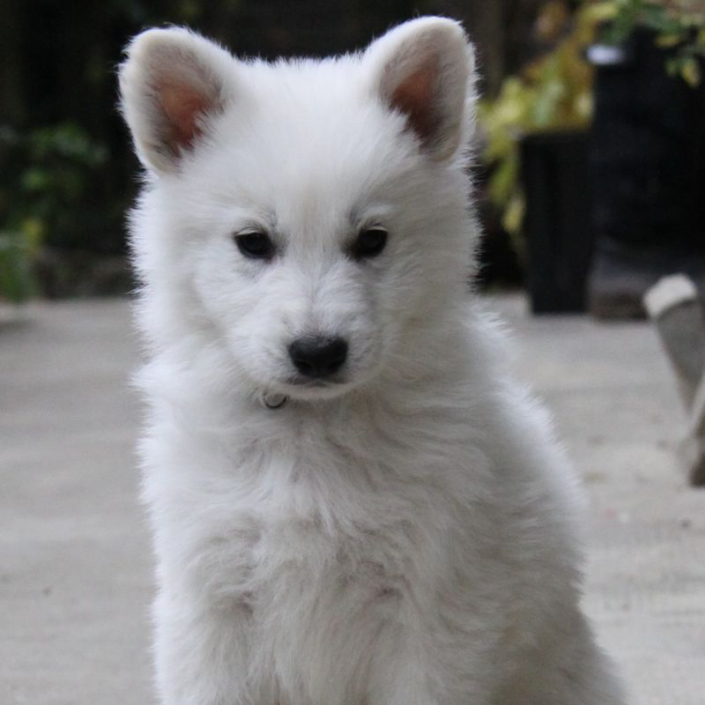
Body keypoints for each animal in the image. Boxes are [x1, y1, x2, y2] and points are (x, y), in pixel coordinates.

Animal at [118, 16, 624, 704]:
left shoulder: (433, 609)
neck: (310, 434)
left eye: (372, 240)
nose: (318, 352)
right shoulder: (211, 599)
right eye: (253, 242)